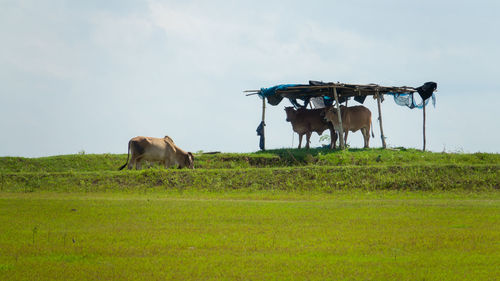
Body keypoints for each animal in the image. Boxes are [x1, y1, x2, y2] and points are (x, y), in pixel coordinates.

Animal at [246, 80, 438, 150]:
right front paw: (300, 148)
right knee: (356, 136)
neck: (297, 118)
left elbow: (308, 139)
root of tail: (368, 110)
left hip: (363, 125)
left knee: (359, 136)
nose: (287, 119)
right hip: (358, 127)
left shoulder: (309, 129)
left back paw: (362, 147)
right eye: (286, 112)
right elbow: (300, 140)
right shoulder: (302, 131)